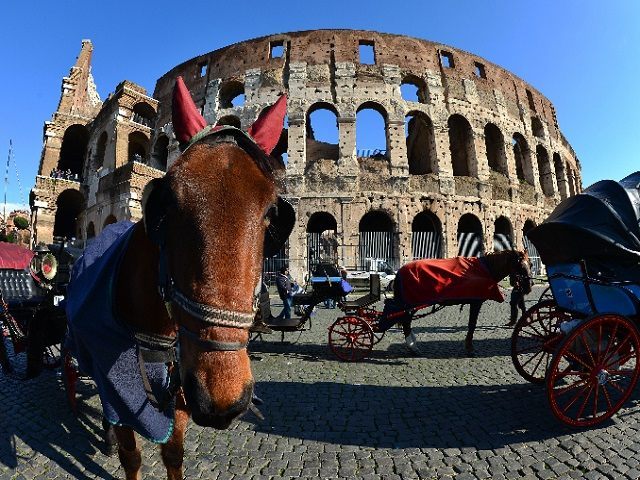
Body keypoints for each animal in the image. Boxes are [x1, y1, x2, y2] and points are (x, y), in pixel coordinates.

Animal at [64, 77, 294, 480]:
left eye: (272, 212)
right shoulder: (120, 384)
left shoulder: (184, 386)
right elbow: (131, 455)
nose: (223, 398)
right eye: (167, 200)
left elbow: (174, 453)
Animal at [379, 250, 531, 354]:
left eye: (530, 264)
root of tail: (399, 272)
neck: (486, 268)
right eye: (521, 266)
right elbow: (472, 324)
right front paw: (469, 348)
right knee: (406, 322)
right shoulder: (476, 302)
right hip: (411, 303)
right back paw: (413, 347)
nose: (529, 287)